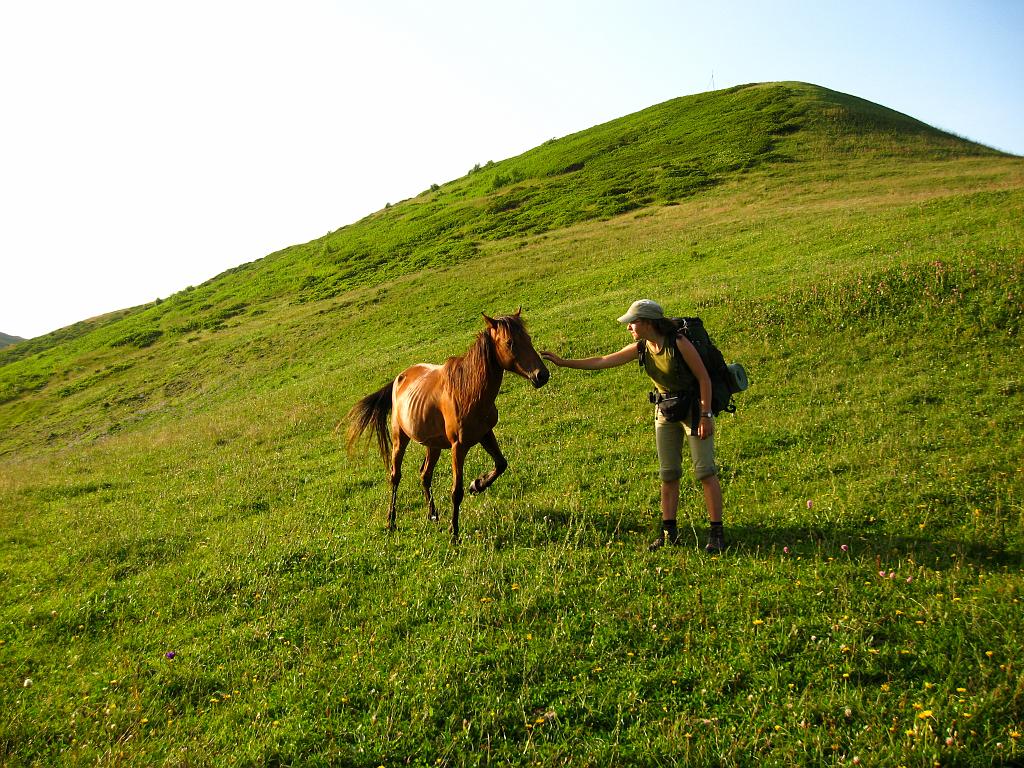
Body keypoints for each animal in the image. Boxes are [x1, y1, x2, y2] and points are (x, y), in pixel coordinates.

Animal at [346, 309, 552, 544]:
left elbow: (501, 464)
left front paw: (477, 484)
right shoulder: (458, 446)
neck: (469, 390)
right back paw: (392, 521)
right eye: (510, 343)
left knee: (425, 475)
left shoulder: (485, 434)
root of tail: (399, 378)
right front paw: (454, 533)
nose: (541, 375)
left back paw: (433, 514)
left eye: (528, 338)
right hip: (400, 439)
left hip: (433, 445)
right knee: (395, 476)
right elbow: (456, 491)